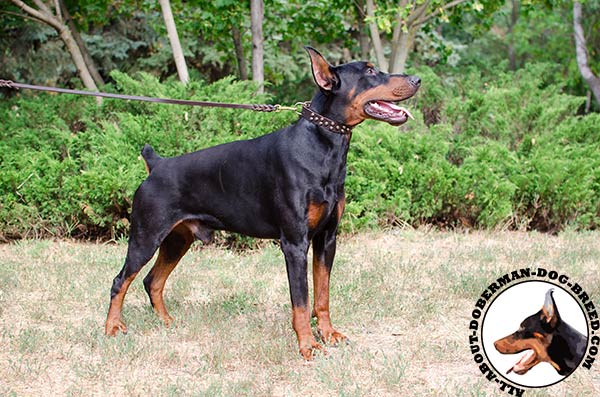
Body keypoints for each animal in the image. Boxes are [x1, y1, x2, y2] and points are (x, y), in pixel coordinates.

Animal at [103, 46, 420, 358]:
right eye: (370, 71)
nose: (417, 79)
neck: (321, 148)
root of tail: (157, 164)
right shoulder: (294, 243)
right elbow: (301, 301)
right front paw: (308, 345)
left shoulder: (327, 238)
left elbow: (323, 294)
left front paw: (328, 333)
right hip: (146, 236)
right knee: (121, 281)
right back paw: (112, 328)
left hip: (178, 239)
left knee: (152, 281)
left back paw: (166, 321)